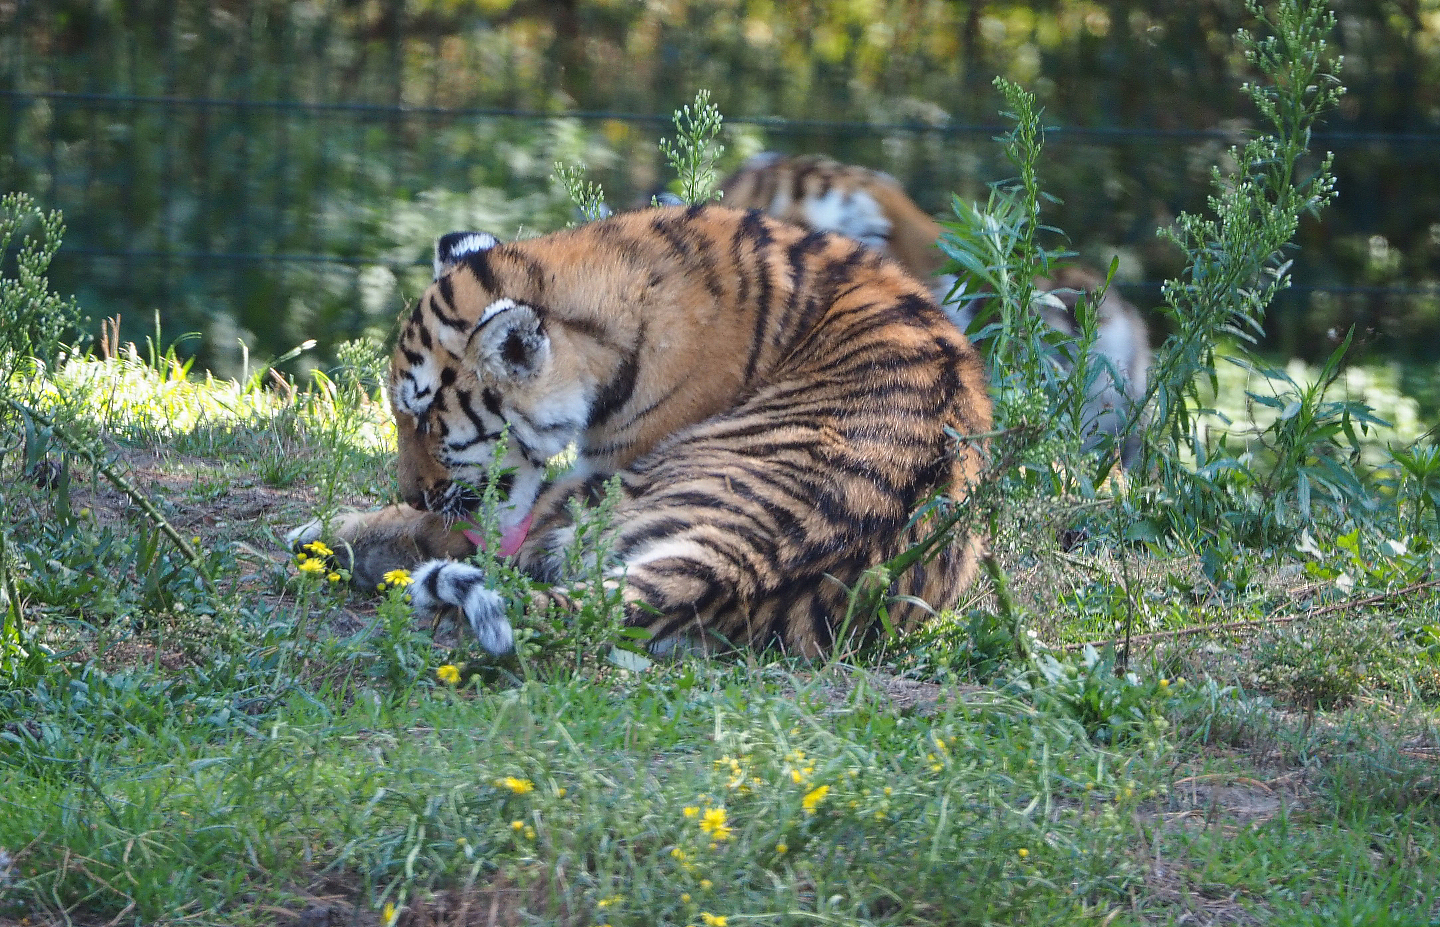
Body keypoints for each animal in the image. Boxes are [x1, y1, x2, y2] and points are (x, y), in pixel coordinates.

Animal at [288, 204, 991, 658]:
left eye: (427, 417)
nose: (409, 490)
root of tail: (743, 561)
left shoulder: (594, 469)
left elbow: (452, 527)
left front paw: (330, 529)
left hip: (610, 493)